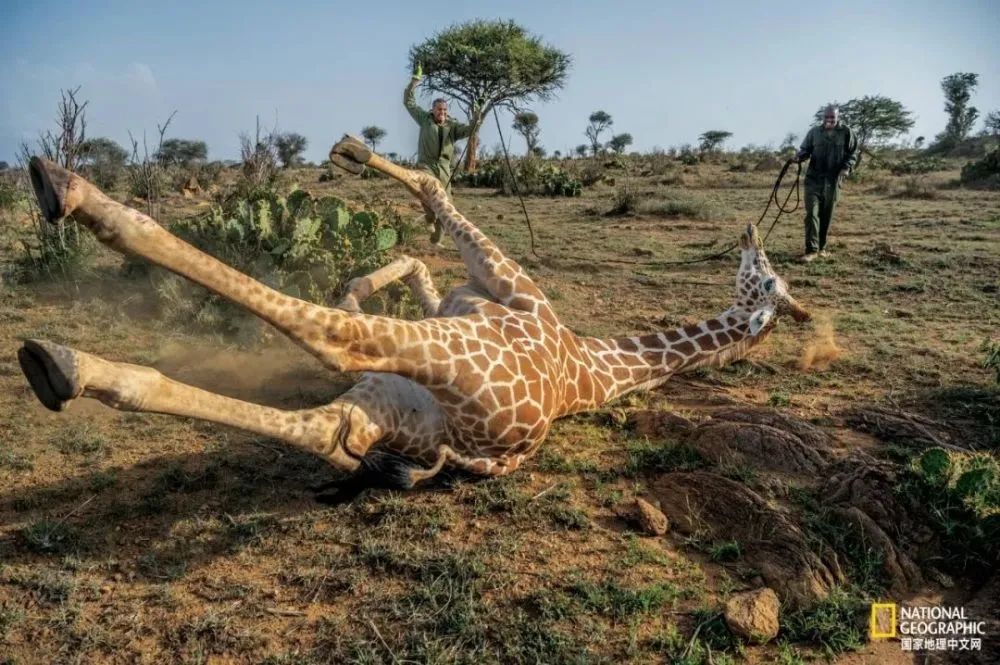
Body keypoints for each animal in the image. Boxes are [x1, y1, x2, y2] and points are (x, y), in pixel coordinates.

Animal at [17, 137, 812, 492]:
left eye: (765, 279)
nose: (751, 234)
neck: (596, 365)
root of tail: (490, 452)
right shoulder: (470, 294)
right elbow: (413, 254)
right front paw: (358, 194)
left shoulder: (509, 284)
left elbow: (433, 185)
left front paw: (354, 153)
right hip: (394, 405)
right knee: (328, 428)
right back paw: (72, 368)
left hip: (432, 361)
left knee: (336, 339)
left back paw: (72, 205)